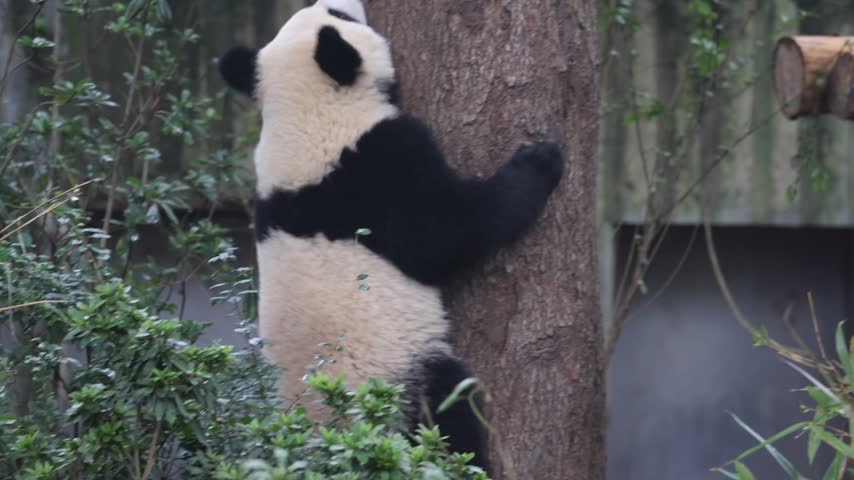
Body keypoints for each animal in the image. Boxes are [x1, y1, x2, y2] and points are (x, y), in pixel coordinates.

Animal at [219, 0, 564, 471]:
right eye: (340, 16)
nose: (348, 3)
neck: (300, 112)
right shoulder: (375, 165)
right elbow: (446, 234)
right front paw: (540, 160)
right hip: (397, 378)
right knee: (446, 406)